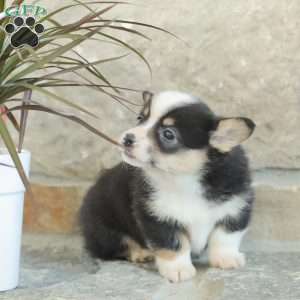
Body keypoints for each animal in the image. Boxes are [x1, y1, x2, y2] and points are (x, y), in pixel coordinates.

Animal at [79, 90, 255, 282]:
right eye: (140, 118)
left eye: (168, 134)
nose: (127, 138)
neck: (184, 178)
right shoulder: (158, 218)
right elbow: (174, 244)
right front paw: (178, 269)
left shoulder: (235, 209)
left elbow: (224, 238)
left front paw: (227, 259)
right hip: (104, 228)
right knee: (120, 244)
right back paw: (141, 253)